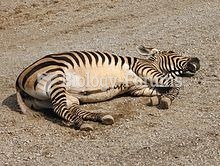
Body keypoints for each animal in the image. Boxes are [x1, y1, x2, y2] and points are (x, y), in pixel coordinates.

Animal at [15, 45, 200, 131]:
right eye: (172, 52)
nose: (197, 60)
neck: (153, 63)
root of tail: (18, 81)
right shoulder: (144, 69)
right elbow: (176, 83)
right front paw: (166, 100)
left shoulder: (138, 89)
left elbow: (164, 88)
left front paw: (157, 98)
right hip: (56, 77)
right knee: (60, 108)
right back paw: (82, 124)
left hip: (57, 98)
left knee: (69, 109)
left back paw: (102, 117)